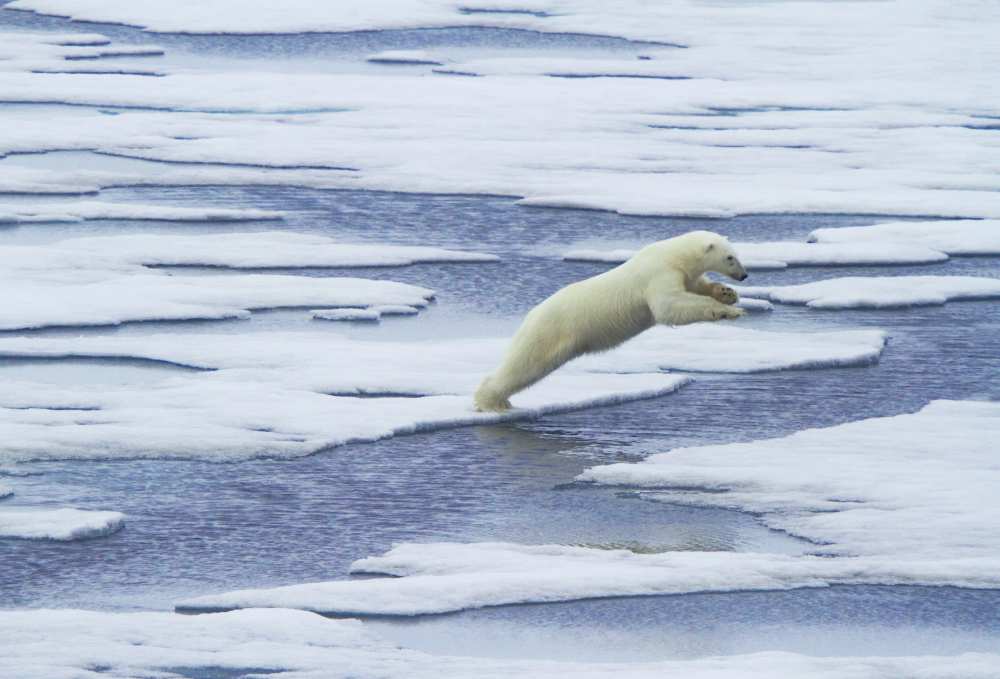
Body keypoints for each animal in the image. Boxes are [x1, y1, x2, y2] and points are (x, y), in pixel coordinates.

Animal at [472, 232, 748, 414]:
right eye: (730, 257)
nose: (744, 275)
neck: (672, 255)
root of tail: (529, 316)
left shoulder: (684, 274)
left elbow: (697, 287)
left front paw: (727, 293)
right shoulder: (658, 274)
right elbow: (669, 307)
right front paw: (730, 311)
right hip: (549, 332)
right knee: (524, 365)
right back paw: (492, 402)